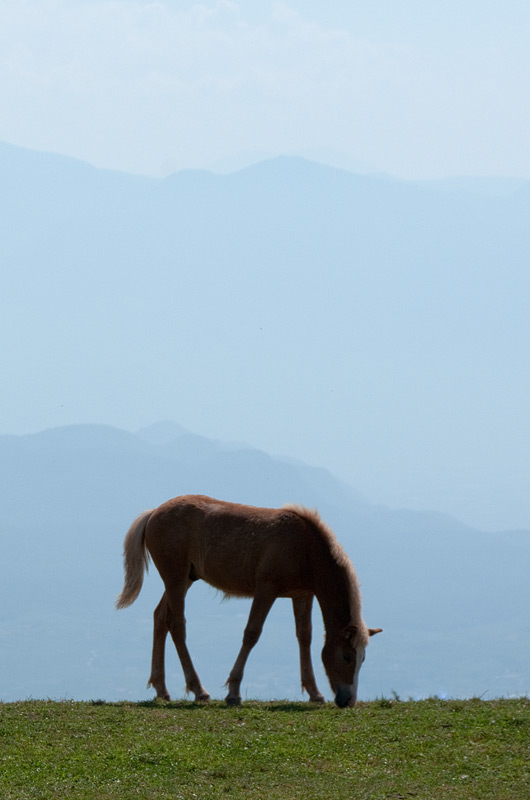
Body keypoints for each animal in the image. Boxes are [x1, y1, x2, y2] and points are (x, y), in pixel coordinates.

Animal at [115, 494, 380, 708]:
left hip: (185, 579)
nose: (348, 700)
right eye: (346, 657)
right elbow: (252, 633)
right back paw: (199, 690)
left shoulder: (302, 595)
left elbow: (304, 637)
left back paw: (161, 689)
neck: (305, 546)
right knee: (177, 626)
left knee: (160, 617)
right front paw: (233, 693)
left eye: (363, 659)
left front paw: (314, 693)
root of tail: (153, 513)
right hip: (175, 580)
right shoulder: (266, 590)